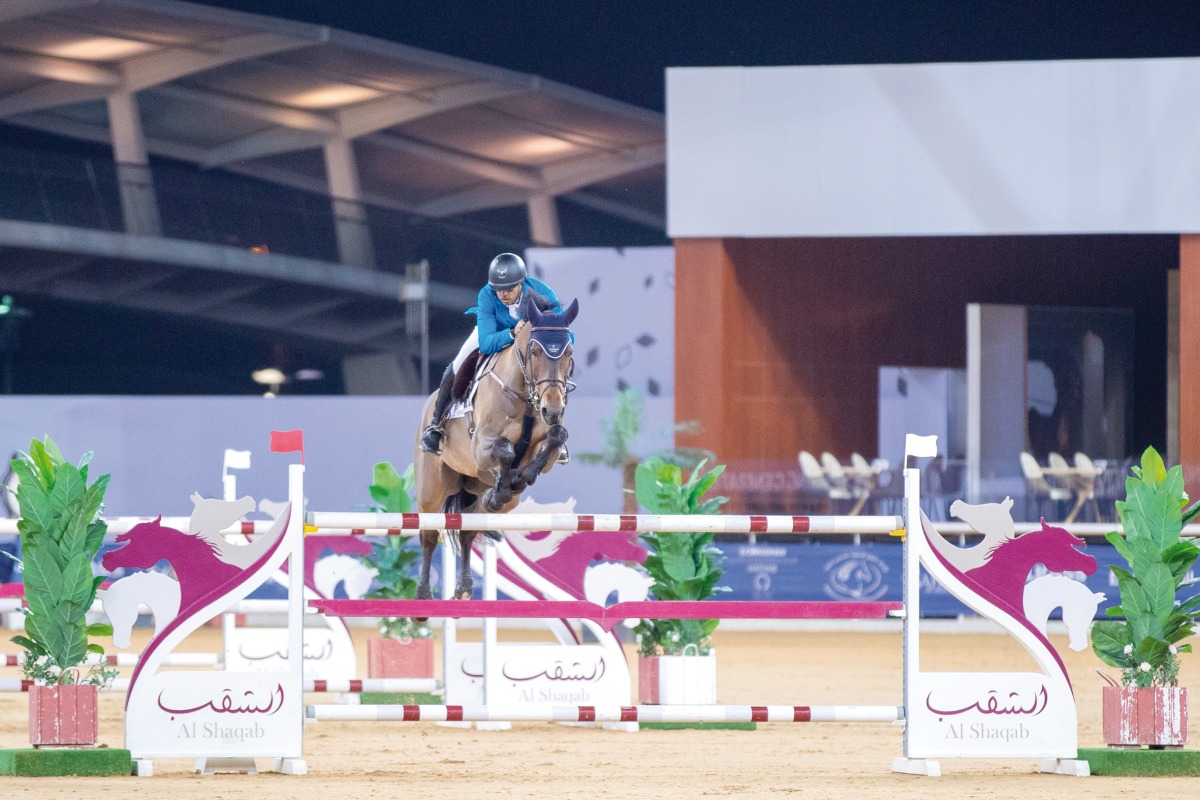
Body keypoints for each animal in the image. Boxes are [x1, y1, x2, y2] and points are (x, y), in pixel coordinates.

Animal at [415, 296, 578, 599]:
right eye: (534, 351)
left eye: (568, 351)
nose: (553, 409)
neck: (527, 397)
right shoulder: (481, 446)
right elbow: (505, 450)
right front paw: (509, 481)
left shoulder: (548, 444)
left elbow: (556, 437)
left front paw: (520, 478)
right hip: (431, 489)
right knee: (428, 534)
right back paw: (423, 595)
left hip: (475, 490)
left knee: (468, 531)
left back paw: (464, 588)